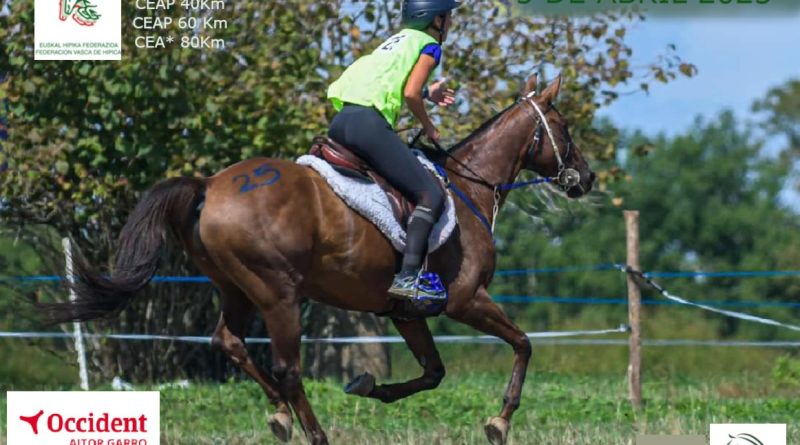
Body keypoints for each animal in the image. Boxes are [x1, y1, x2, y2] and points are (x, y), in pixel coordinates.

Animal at [43, 74, 592, 442]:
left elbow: (433, 373)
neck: (468, 186)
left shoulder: (405, 313)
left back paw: (280, 414)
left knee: (229, 341)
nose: (585, 179)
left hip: (236, 287)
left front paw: (368, 386)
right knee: (287, 368)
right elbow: (523, 344)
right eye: (564, 127)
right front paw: (500, 421)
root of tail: (209, 185)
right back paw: (313, 432)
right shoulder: (466, 300)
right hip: (278, 294)